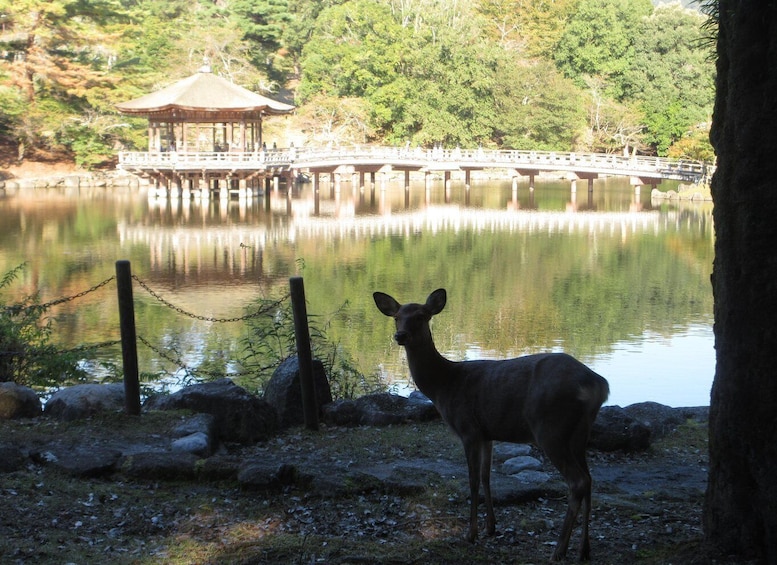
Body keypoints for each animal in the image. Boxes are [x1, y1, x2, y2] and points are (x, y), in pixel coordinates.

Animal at [372, 288, 608, 560]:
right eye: (397, 317)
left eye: (421, 316)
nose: (400, 335)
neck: (444, 385)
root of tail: (598, 385)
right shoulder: (487, 433)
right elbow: (486, 476)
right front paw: (491, 527)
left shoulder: (468, 429)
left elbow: (473, 480)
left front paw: (471, 533)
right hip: (580, 434)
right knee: (589, 480)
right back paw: (584, 550)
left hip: (551, 428)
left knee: (577, 482)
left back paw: (559, 550)